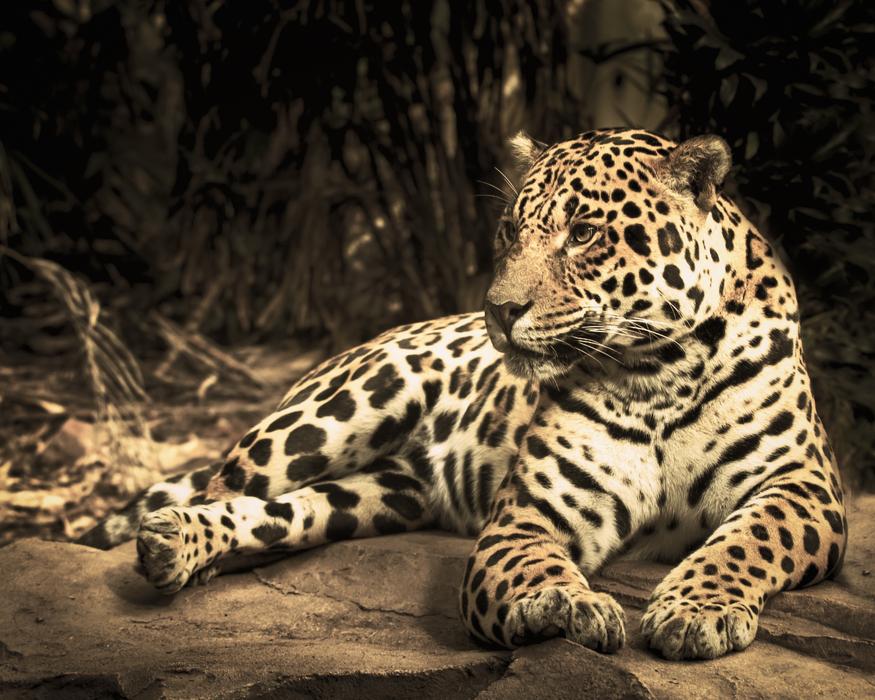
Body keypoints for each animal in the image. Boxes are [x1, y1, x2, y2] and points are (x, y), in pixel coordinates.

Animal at [77, 127, 848, 661]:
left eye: (584, 233)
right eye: (510, 230)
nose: (498, 311)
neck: (656, 368)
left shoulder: (801, 486)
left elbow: (744, 541)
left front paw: (695, 611)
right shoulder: (531, 512)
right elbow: (531, 563)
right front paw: (559, 604)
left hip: (373, 498)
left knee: (283, 515)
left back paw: (176, 548)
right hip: (329, 414)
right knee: (222, 486)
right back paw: (176, 547)